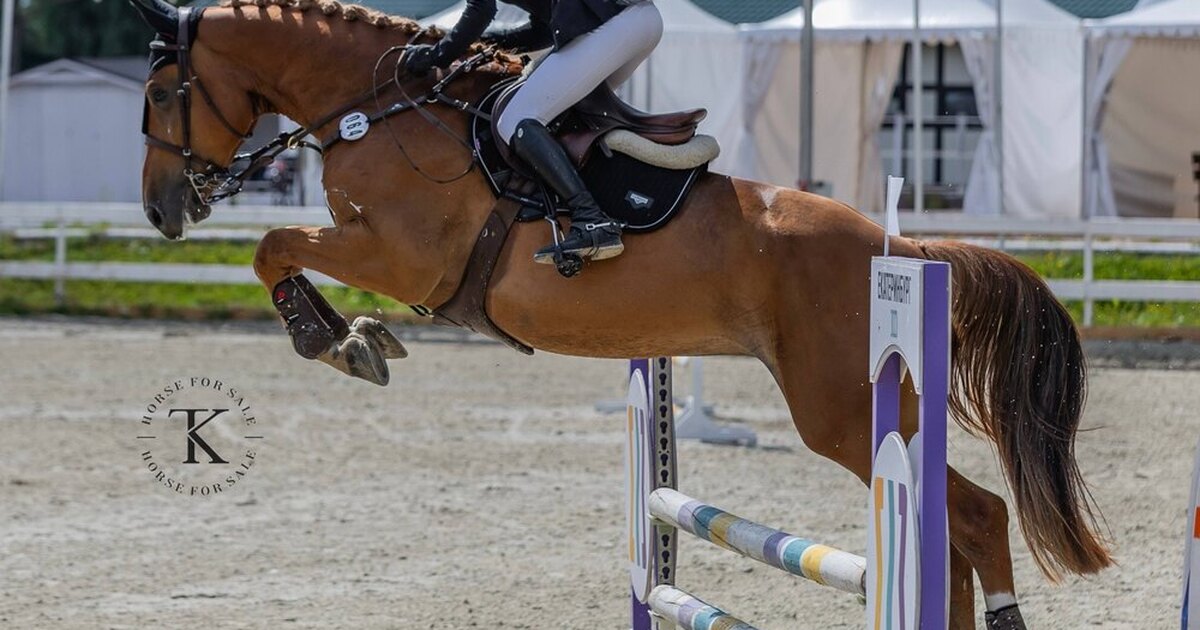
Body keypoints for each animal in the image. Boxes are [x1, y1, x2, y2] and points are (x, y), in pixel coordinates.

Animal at [130, 0, 1112, 626]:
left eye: (161, 94)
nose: (163, 209)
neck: (378, 108)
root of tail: (905, 251)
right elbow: (279, 248)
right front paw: (356, 337)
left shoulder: (403, 256)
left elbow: (274, 244)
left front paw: (337, 340)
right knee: (955, 533)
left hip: (843, 408)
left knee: (973, 517)